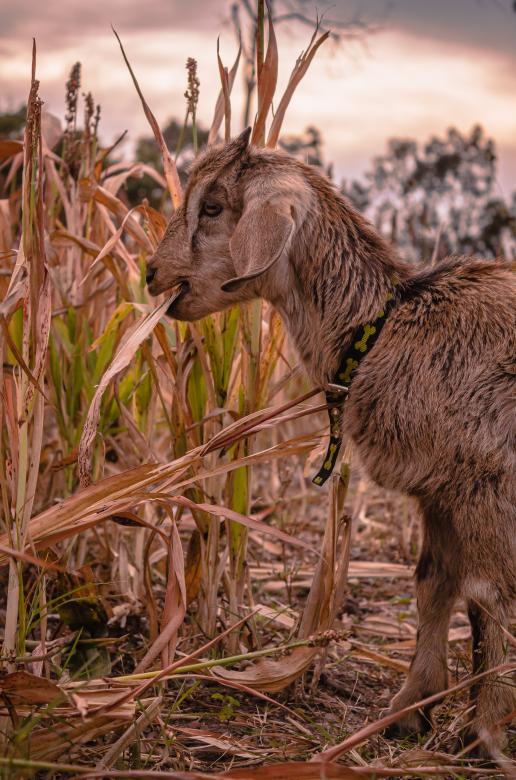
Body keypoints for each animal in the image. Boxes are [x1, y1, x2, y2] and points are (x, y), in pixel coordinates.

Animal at [147, 128, 515, 755]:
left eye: (213, 207)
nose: (151, 273)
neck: (389, 326)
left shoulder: (487, 483)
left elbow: (489, 596)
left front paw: (486, 732)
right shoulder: (440, 491)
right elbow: (435, 583)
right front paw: (409, 707)